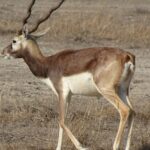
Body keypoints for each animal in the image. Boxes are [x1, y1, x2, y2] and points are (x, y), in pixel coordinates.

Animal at [0, 0, 136, 150]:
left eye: (14, 41)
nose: (3, 51)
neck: (48, 64)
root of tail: (126, 56)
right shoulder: (69, 95)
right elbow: (62, 122)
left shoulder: (61, 92)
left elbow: (61, 120)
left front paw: (82, 146)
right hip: (122, 90)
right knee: (132, 112)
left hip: (106, 89)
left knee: (125, 111)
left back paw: (115, 145)